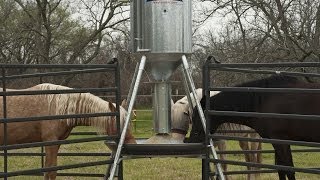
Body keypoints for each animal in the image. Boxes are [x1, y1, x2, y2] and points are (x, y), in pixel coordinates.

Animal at [0, 83, 136, 180]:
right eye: (120, 124)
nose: (133, 144)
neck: (58, 107)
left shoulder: (56, 143)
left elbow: (48, 170)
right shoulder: (51, 142)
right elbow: (51, 171)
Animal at [186, 75, 320, 180]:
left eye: (199, 114)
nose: (191, 139)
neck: (264, 99)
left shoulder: (280, 140)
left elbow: (289, 170)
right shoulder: (278, 142)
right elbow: (281, 170)